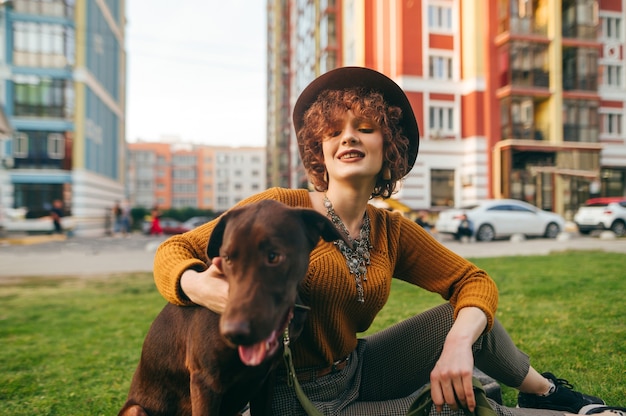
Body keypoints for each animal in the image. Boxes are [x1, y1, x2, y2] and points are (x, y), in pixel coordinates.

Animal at [119, 200, 344, 414]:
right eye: (226, 258)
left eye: (274, 256)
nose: (234, 333)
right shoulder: (205, 382)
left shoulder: (266, 379)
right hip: (135, 409)